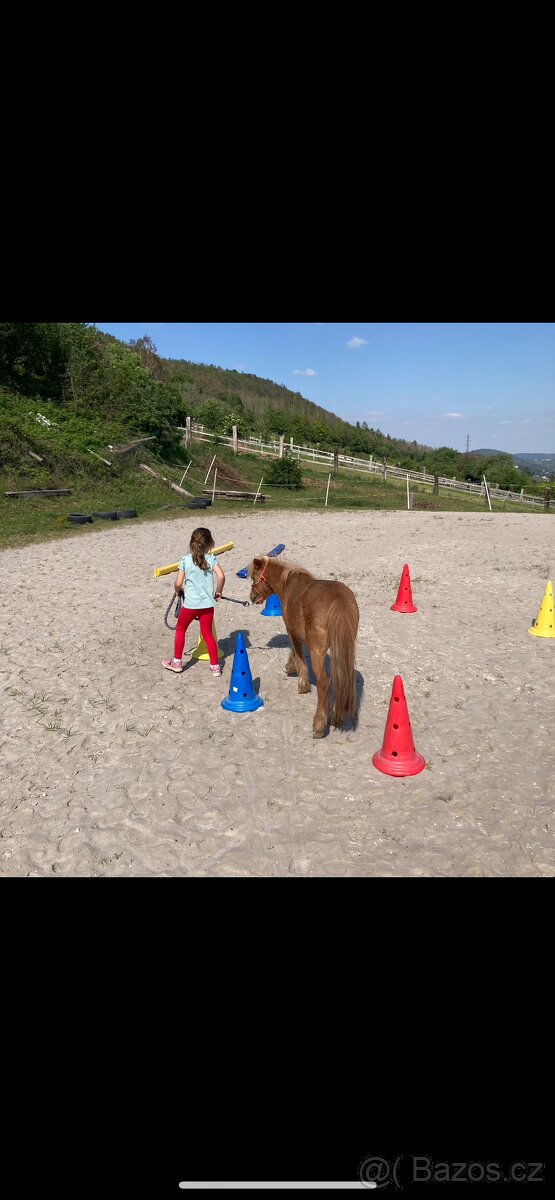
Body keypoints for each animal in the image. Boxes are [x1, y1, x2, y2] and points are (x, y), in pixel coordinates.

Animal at [248, 555, 360, 738]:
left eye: (253, 578)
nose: (251, 598)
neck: (289, 583)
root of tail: (338, 599)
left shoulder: (291, 631)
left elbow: (298, 654)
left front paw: (301, 682)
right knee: (342, 678)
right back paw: (337, 717)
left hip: (318, 652)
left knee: (324, 683)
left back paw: (319, 725)